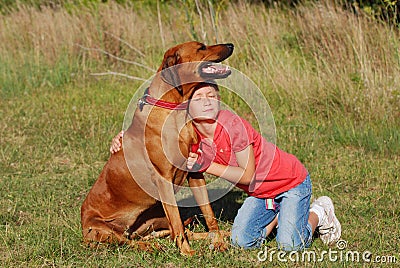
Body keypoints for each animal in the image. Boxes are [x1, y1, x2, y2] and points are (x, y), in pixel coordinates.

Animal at [79, 41, 233, 255]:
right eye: (201, 47)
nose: (231, 44)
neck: (175, 110)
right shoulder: (164, 179)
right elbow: (177, 224)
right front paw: (187, 253)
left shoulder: (195, 172)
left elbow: (207, 212)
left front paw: (218, 241)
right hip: (102, 230)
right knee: (127, 241)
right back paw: (149, 246)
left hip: (157, 214)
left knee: (176, 230)